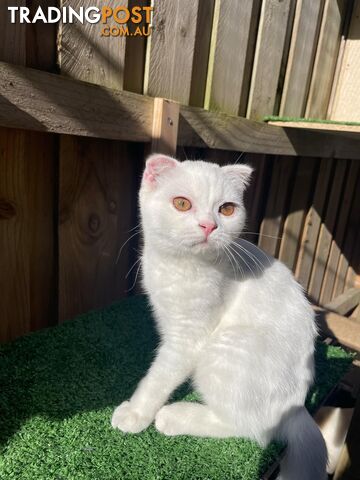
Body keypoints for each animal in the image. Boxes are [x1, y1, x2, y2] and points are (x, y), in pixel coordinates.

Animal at [111, 156, 328, 478]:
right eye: (181, 203)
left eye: (226, 209)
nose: (209, 225)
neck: (180, 268)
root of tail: (296, 406)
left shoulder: (188, 339)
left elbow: (159, 377)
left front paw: (136, 412)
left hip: (224, 348)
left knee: (254, 429)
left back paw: (176, 416)